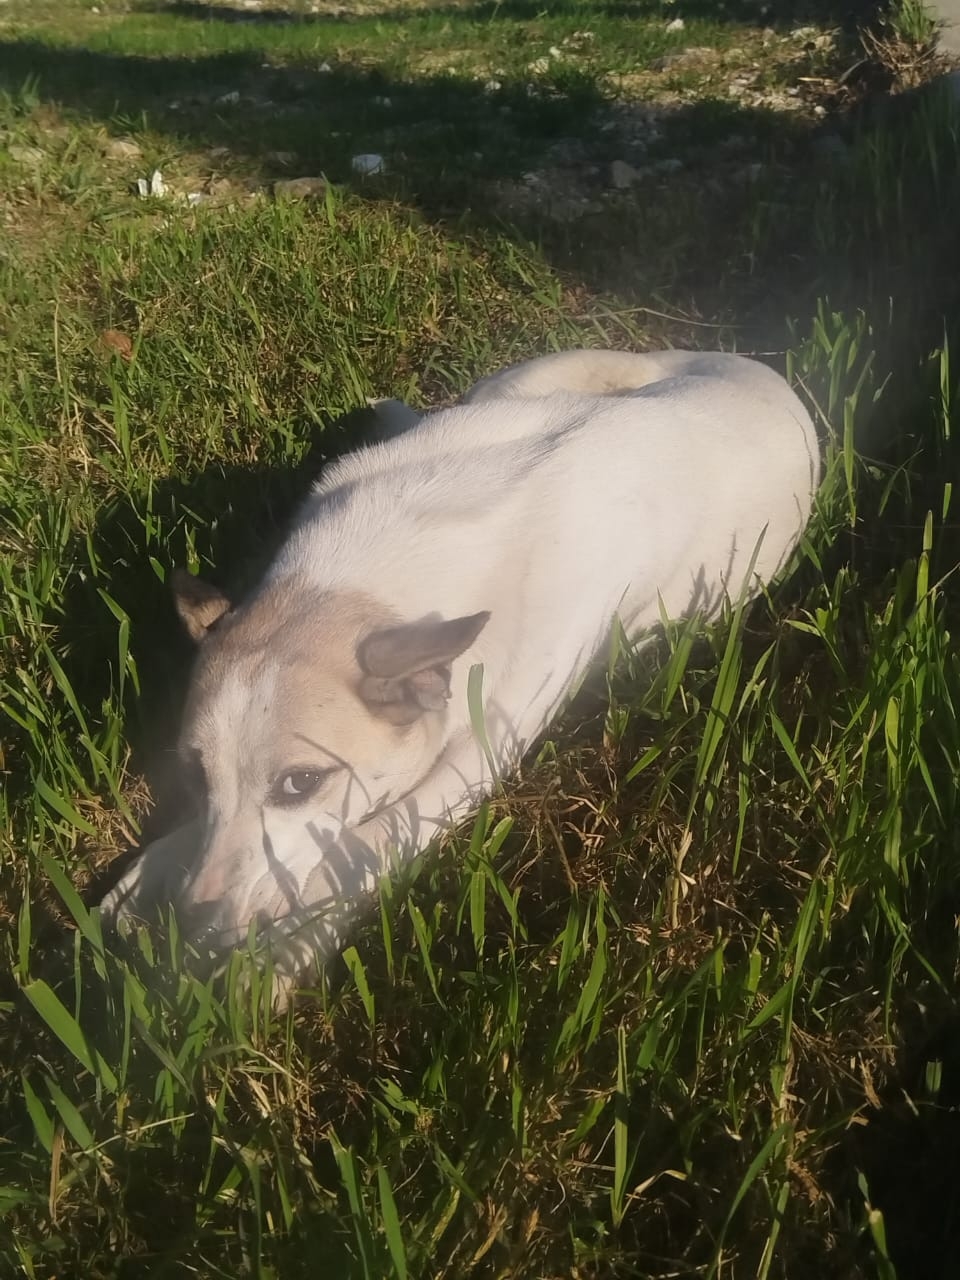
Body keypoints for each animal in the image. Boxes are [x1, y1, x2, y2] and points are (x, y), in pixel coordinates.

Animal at [101, 348, 820, 982]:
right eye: (194, 774)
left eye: (301, 784)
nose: (192, 923)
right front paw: (162, 868)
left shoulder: (478, 755)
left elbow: (366, 846)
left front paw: (276, 955)